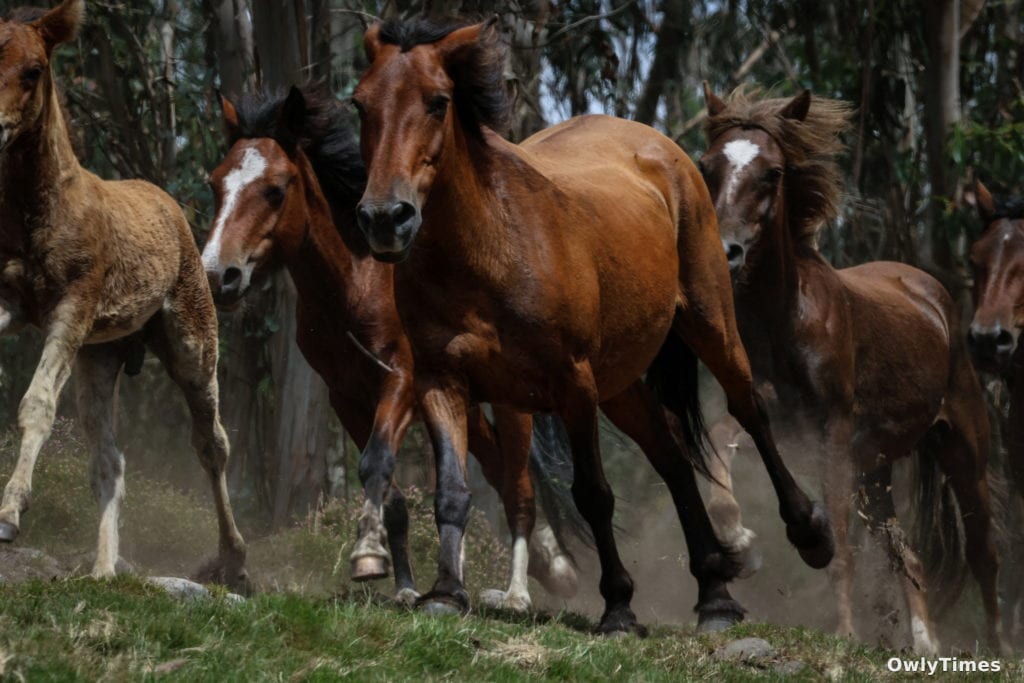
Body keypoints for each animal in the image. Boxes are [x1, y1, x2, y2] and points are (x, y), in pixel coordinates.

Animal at [0, 0, 248, 591]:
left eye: (34, 70)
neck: (39, 209)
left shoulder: (73, 305)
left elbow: (36, 404)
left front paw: (9, 515)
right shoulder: (9, 300)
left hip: (192, 343)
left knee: (212, 443)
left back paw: (232, 560)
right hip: (100, 354)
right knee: (109, 460)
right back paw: (104, 570)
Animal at [202, 85, 586, 610]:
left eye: (275, 189)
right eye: (216, 185)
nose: (218, 275)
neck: (355, 284)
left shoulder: (400, 381)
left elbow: (376, 463)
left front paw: (367, 557)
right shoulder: (346, 397)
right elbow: (395, 496)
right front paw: (403, 585)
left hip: (512, 405)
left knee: (519, 488)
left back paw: (522, 590)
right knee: (490, 471)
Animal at [351, 18, 833, 634]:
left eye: (438, 102)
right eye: (360, 104)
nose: (384, 218)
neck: (489, 248)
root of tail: (663, 149)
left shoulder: (572, 384)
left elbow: (594, 494)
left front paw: (619, 607)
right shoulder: (441, 381)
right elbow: (453, 492)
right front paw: (445, 593)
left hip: (709, 327)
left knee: (748, 409)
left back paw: (808, 533)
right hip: (621, 384)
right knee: (673, 458)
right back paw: (714, 594)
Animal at [699, 85, 1002, 652]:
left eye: (772, 173)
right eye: (707, 166)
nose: (725, 252)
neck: (785, 320)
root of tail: (929, 292)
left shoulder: (833, 433)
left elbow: (841, 546)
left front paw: (843, 631)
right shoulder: (769, 419)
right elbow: (719, 440)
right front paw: (737, 537)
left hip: (962, 449)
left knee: (983, 557)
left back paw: (995, 650)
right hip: (876, 471)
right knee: (910, 556)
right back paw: (924, 645)